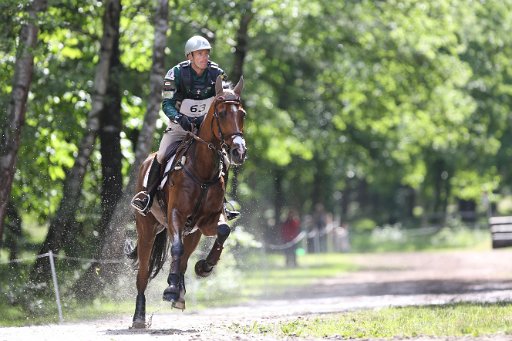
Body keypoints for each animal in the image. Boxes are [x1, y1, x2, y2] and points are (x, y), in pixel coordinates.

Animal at [125, 75, 246, 326]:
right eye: (221, 114)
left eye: (243, 114)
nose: (239, 151)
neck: (202, 170)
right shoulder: (176, 215)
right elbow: (176, 248)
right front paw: (171, 288)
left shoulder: (207, 220)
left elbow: (223, 230)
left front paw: (205, 267)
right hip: (147, 228)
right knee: (143, 273)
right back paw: (140, 316)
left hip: (194, 233)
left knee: (183, 261)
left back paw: (178, 293)